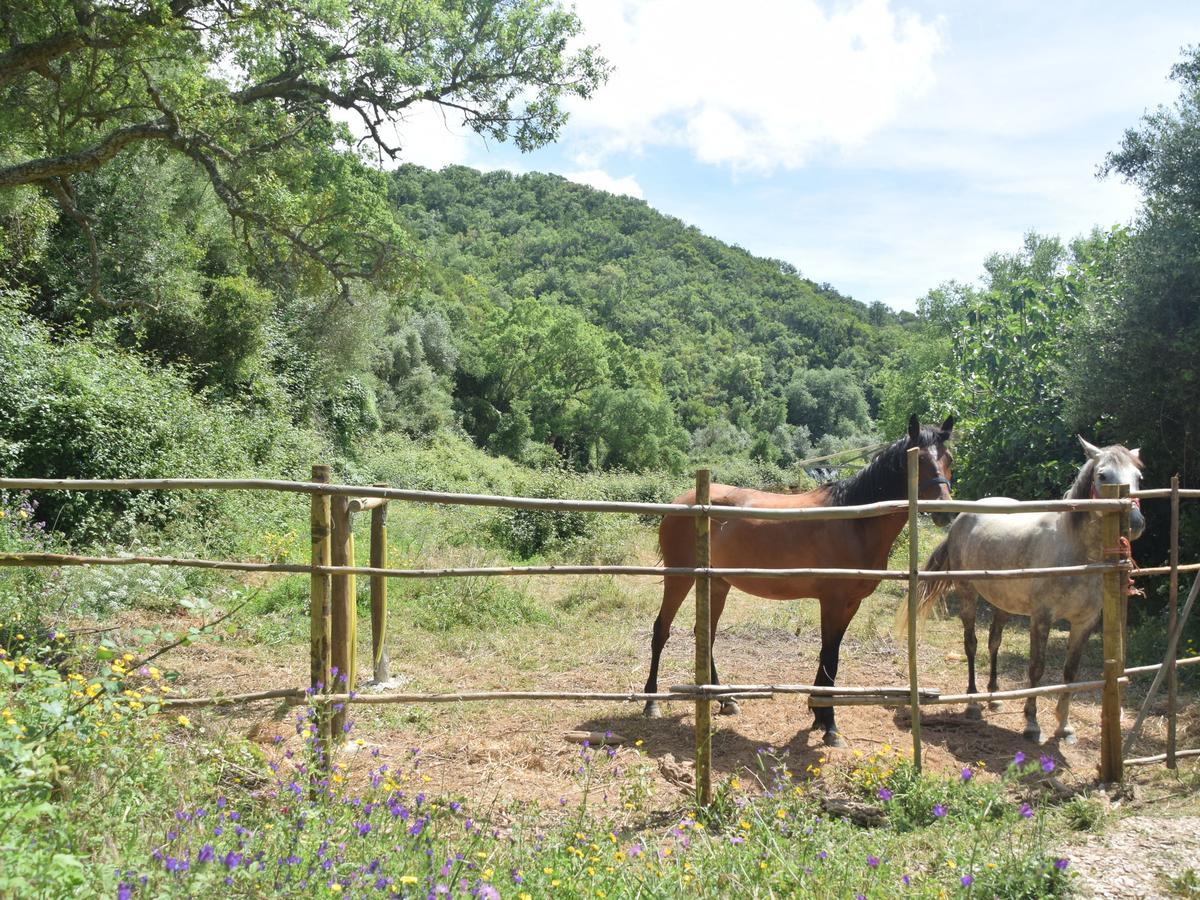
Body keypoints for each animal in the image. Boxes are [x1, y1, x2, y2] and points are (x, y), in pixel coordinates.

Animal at [643, 415, 950, 748]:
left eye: (948, 459)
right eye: (919, 460)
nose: (946, 511)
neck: (855, 520)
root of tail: (680, 502)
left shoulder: (850, 604)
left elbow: (830, 655)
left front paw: (819, 715)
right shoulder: (833, 602)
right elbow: (830, 656)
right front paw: (829, 725)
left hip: (718, 583)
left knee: (705, 634)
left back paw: (726, 700)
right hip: (679, 577)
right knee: (661, 630)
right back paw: (651, 702)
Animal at [907, 439, 1142, 748]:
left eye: (1138, 477)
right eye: (1103, 475)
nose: (1135, 522)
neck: (1076, 553)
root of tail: (961, 519)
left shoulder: (1085, 622)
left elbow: (1070, 672)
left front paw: (1064, 727)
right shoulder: (1041, 618)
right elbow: (1036, 668)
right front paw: (1032, 723)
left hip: (1003, 603)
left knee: (994, 642)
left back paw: (994, 697)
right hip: (968, 593)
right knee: (971, 644)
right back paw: (973, 702)